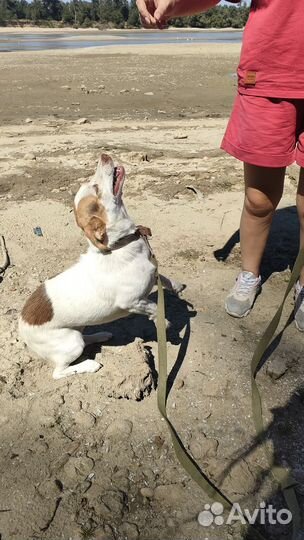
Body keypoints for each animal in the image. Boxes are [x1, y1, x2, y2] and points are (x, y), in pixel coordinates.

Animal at [19, 153, 185, 380]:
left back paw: (100, 335)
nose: (104, 155)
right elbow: (153, 307)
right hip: (71, 342)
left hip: (78, 330)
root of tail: (21, 325)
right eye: (96, 188)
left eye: (92, 183)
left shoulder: (153, 271)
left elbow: (163, 278)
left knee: (84, 338)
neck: (121, 244)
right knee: (58, 372)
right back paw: (89, 365)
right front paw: (164, 323)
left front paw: (176, 286)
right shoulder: (132, 302)